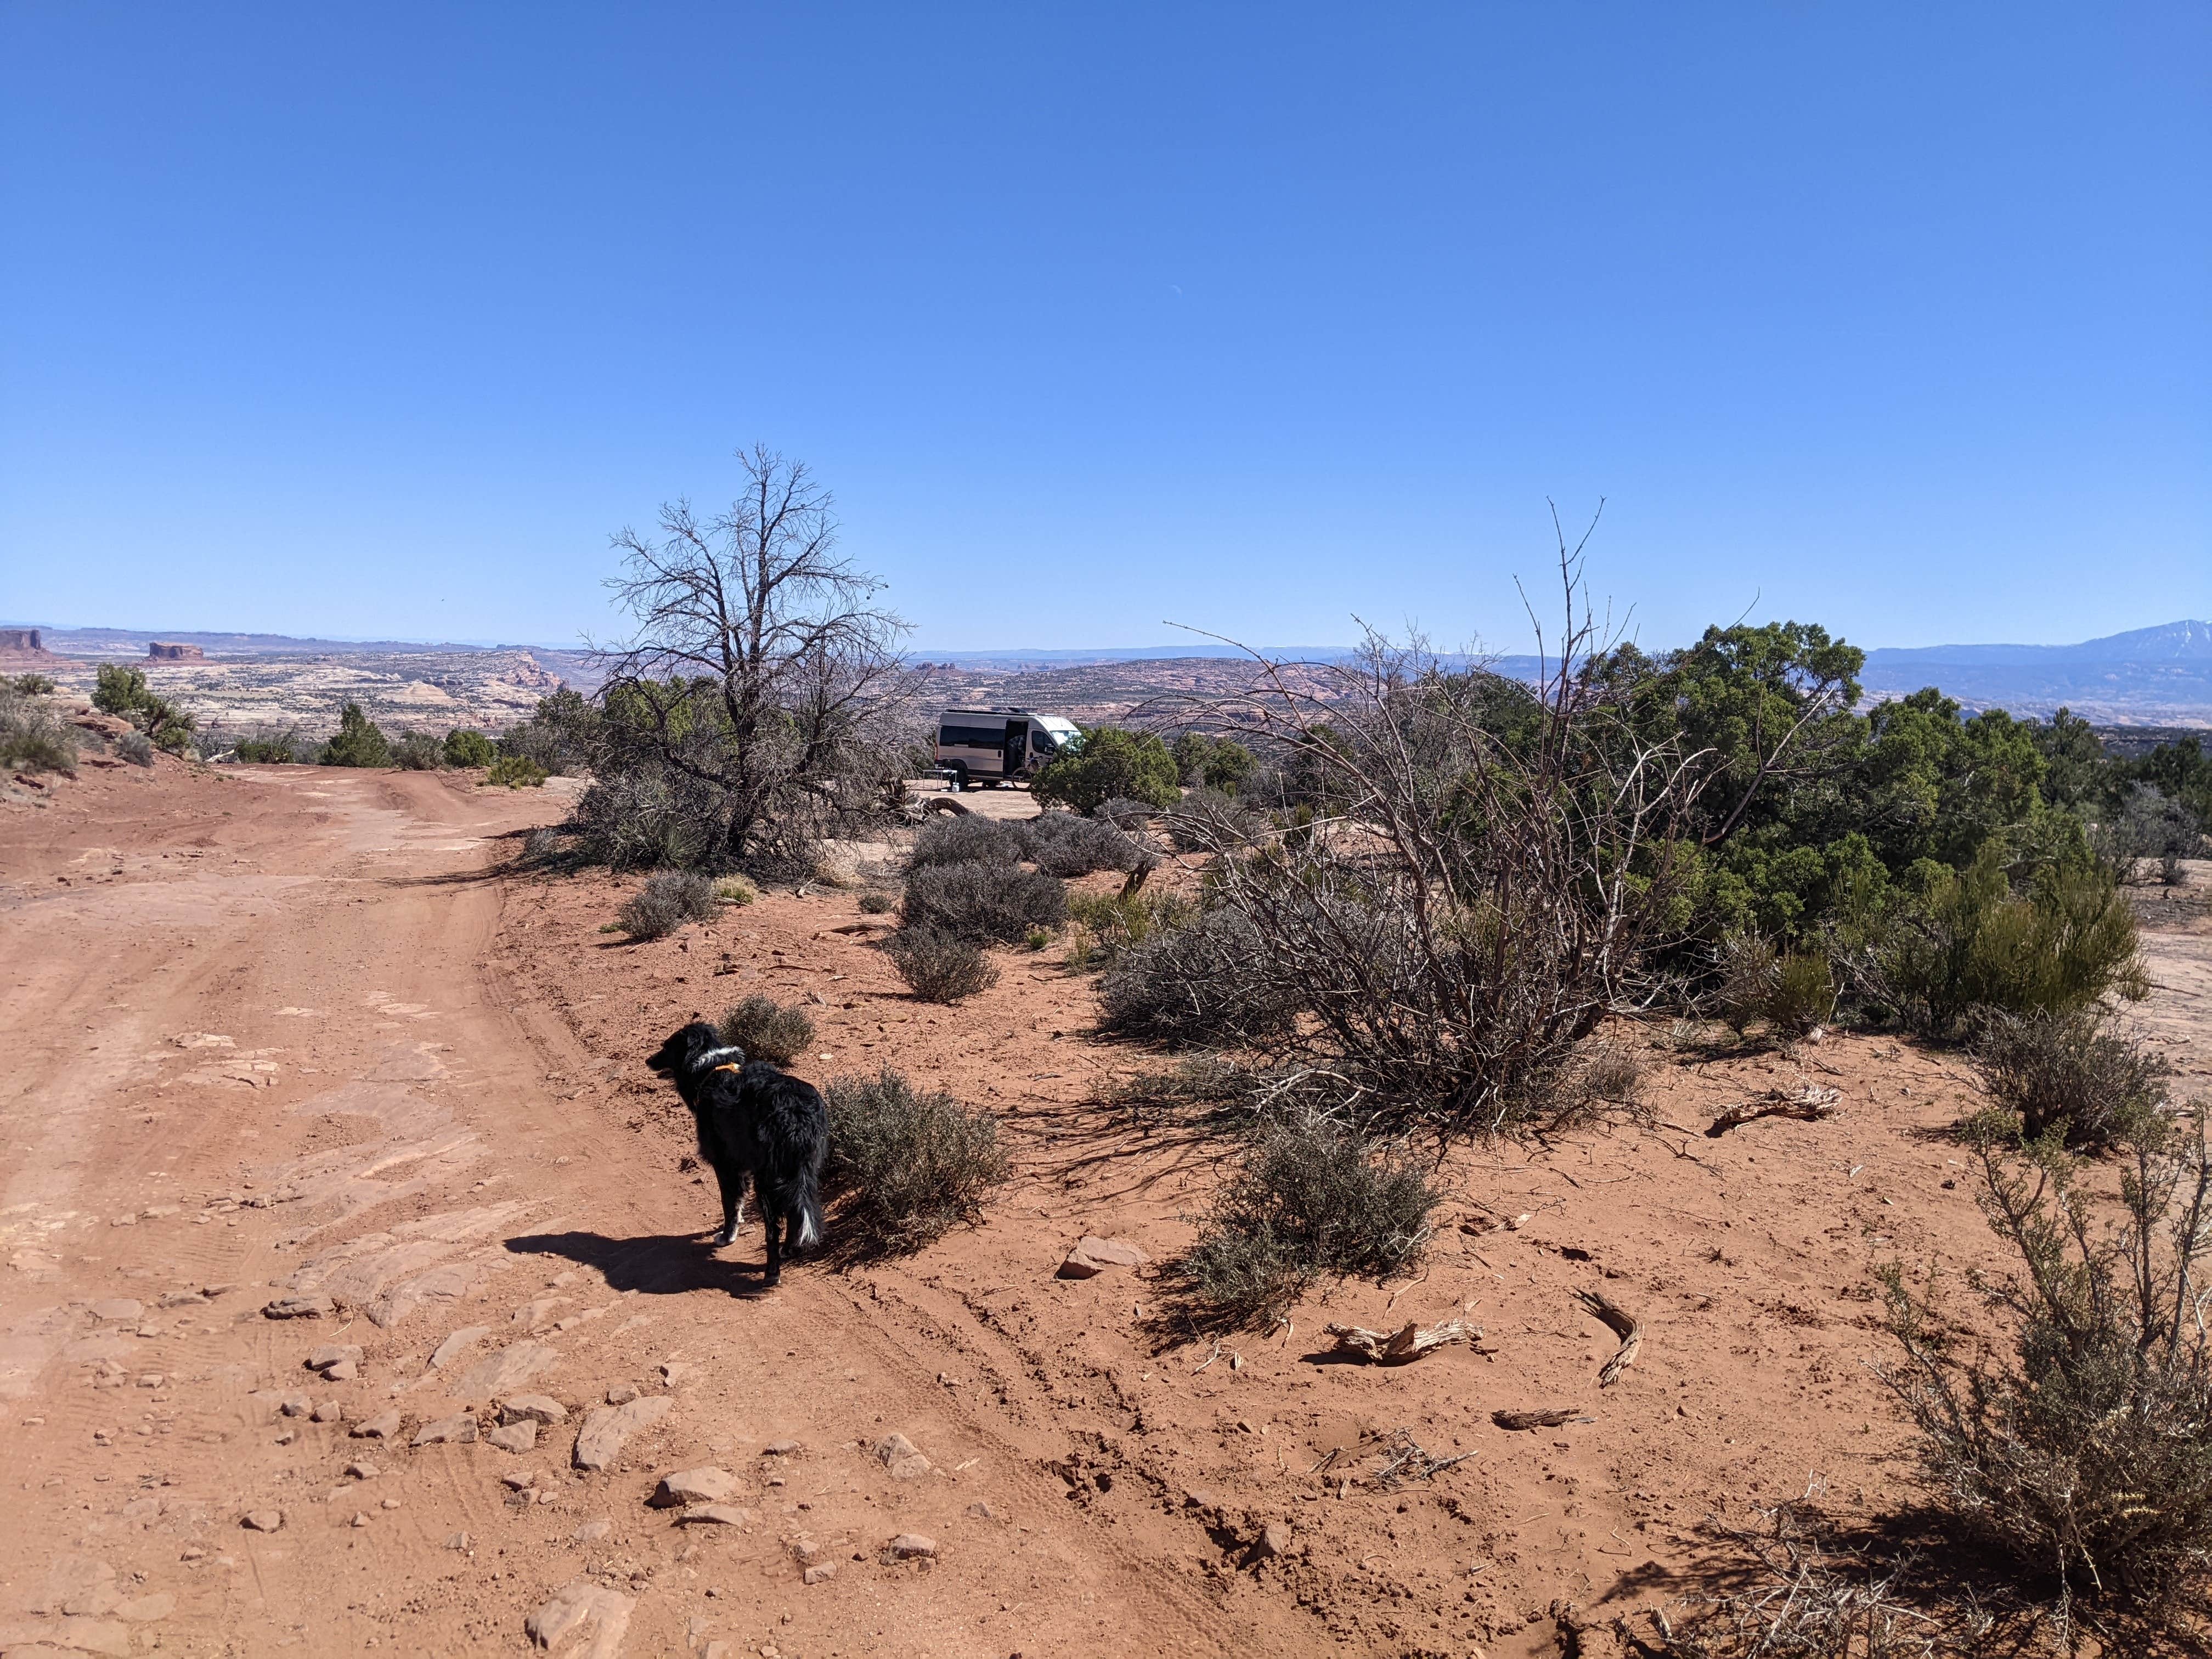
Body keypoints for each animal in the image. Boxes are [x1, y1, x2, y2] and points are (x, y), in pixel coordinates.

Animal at [650, 1022, 832, 1291]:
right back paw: (790, 1250)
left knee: (773, 1228)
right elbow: (737, 1204)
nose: (648, 1060)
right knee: (797, 1211)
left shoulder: (725, 1164)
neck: (710, 1066)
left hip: (768, 1179)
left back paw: (772, 1272)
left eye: (666, 1047)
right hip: (803, 1171)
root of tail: (794, 1112)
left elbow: (729, 1203)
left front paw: (727, 1236)